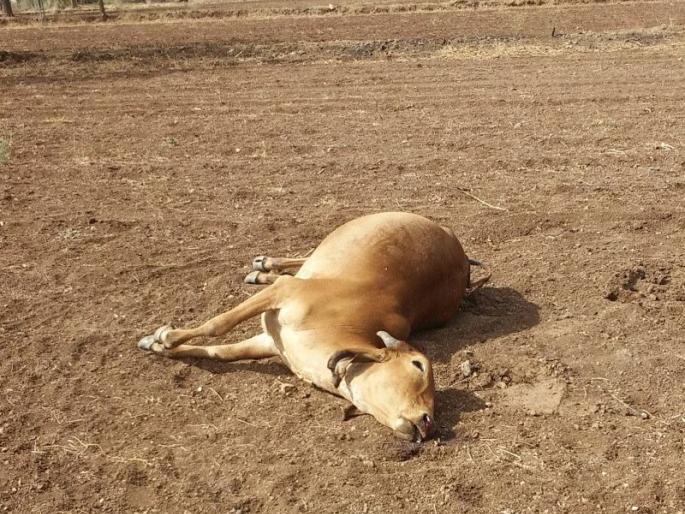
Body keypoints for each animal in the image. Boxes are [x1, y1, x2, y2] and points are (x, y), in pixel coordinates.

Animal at [137, 212, 488, 441]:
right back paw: (264, 267)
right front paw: (165, 338)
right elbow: (217, 327)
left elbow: (221, 353)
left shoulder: (269, 341)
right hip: (322, 252)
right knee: (297, 263)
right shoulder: (283, 298)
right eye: (419, 366)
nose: (429, 423)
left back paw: (263, 269)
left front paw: (161, 346)